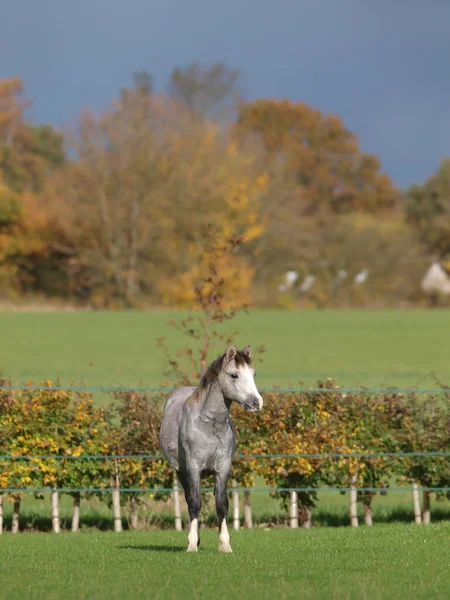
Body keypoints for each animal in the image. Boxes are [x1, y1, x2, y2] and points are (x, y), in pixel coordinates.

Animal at [159, 344, 262, 552]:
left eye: (253, 374)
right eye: (234, 375)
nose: (257, 402)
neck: (209, 425)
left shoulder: (223, 467)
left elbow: (221, 503)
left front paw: (225, 545)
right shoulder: (193, 467)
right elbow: (195, 502)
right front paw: (192, 544)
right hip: (181, 472)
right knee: (189, 498)